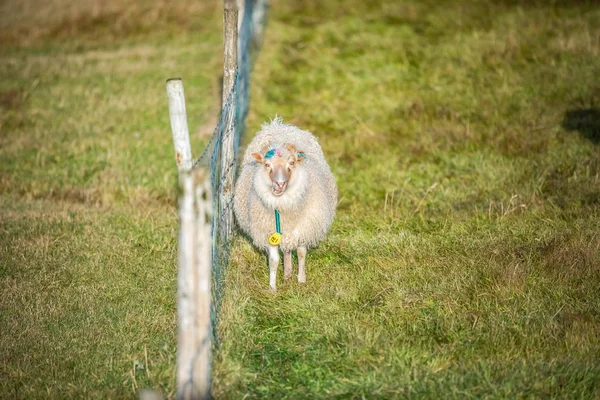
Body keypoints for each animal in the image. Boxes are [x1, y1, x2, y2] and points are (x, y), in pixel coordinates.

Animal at [233, 117, 338, 290]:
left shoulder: (304, 227)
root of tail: (278, 125)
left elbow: (301, 253)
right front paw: (272, 288)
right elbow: (273, 260)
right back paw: (287, 274)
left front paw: (301, 281)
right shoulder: (268, 232)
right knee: (286, 251)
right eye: (267, 164)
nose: (280, 183)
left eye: (292, 163)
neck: (282, 207)